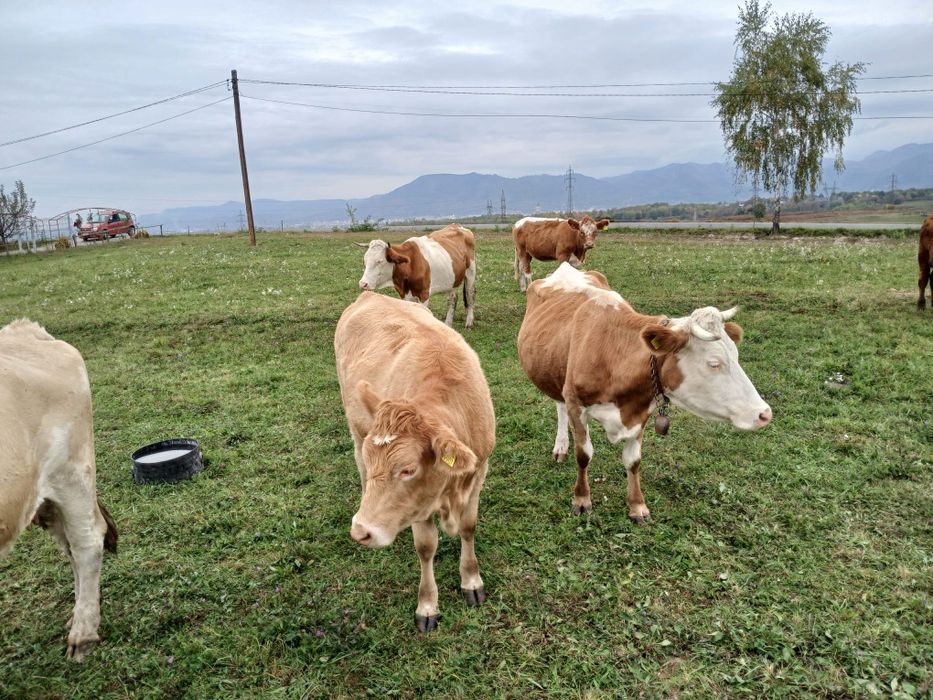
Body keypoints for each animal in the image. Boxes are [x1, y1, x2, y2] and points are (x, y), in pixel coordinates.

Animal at [334, 292, 495, 632]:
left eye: (407, 469)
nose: (360, 531)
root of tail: (370, 294)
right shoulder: (419, 503)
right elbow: (426, 547)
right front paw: (427, 606)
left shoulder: (479, 472)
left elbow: (469, 527)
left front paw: (471, 580)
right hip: (355, 426)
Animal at [517, 263, 772, 523]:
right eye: (713, 363)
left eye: (736, 355)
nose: (764, 413)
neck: (613, 353)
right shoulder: (577, 404)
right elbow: (584, 454)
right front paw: (581, 499)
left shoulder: (641, 411)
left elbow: (633, 461)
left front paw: (637, 505)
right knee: (560, 406)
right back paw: (561, 446)